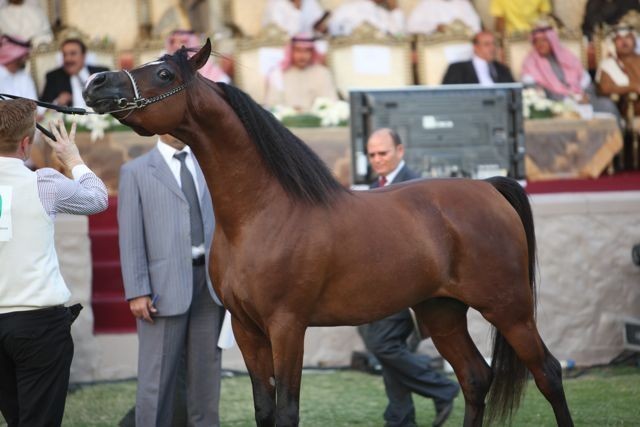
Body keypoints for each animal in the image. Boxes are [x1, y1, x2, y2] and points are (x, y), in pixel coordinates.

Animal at [83, 40, 573, 427]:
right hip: (442, 312)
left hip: (508, 308)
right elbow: (264, 409)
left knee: (548, 373)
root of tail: (488, 187)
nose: (96, 83)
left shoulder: (287, 327)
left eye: (164, 73)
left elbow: (287, 410)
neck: (262, 213)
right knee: (474, 377)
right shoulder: (246, 329)